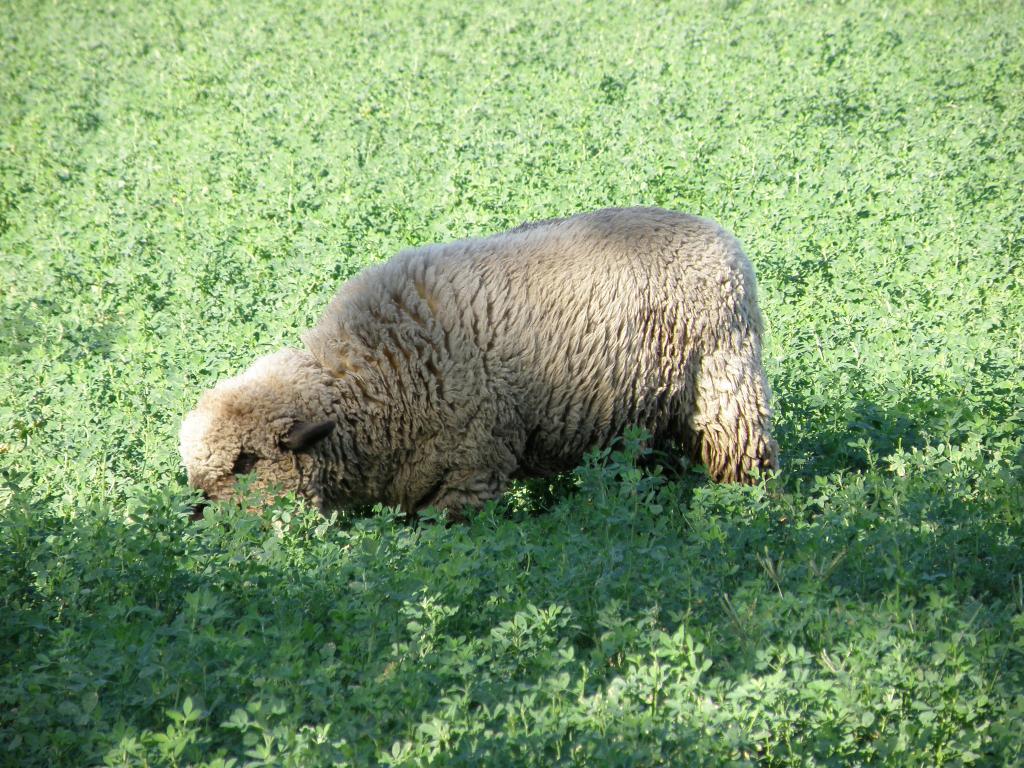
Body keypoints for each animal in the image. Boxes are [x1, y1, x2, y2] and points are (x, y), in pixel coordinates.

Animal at [180, 207, 778, 520]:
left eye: (245, 464)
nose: (196, 516)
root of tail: (717, 234)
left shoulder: (468, 471)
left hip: (727, 390)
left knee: (749, 466)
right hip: (647, 414)